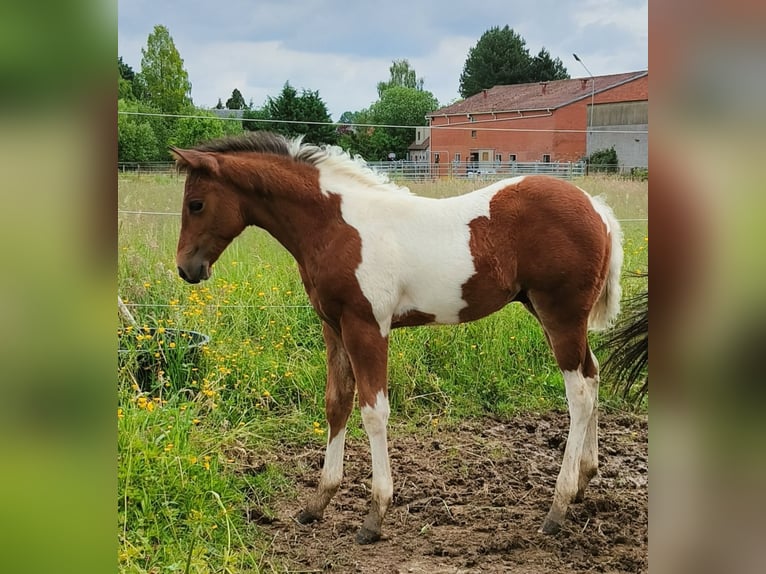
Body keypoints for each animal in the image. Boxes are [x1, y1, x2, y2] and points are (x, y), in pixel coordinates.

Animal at [172, 133, 624, 548]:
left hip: (560, 314)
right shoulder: (333, 326)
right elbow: (337, 403)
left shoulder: (367, 325)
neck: (336, 225)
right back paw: (584, 480)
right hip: (550, 313)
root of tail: (597, 207)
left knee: (579, 393)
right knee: (593, 375)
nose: (186, 269)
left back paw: (557, 508)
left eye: (195, 204)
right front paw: (317, 502)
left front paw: (375, 515)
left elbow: (374, 412)